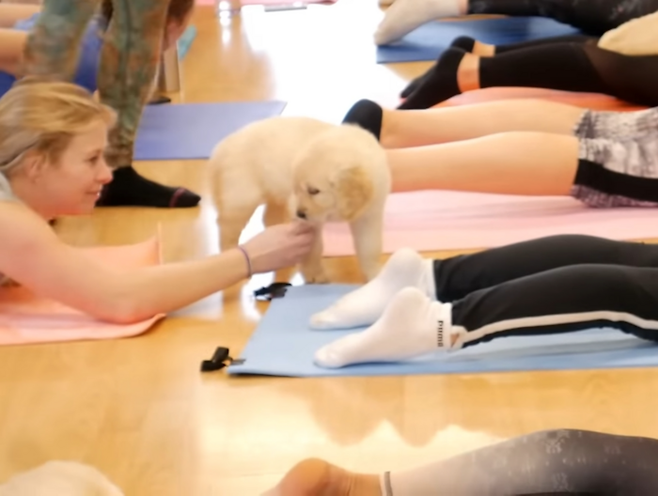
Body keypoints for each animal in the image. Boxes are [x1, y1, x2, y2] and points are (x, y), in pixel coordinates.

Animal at [209, 114, 390, 280]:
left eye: (314, 191)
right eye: (298, 189)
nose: (299, 213)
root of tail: (223, 145)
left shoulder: (369, 216)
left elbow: (370, 247)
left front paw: (376, 274)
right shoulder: (303, 217)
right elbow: (313, 249)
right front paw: (315, 276)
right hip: (242, 197)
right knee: (227, 226)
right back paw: (230, 252)